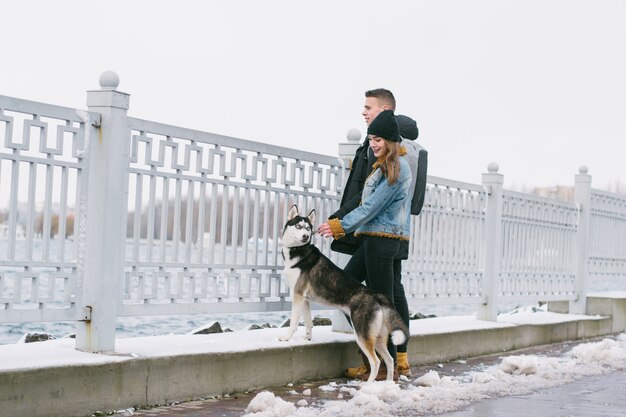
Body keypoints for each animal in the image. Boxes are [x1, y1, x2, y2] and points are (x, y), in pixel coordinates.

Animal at [280, 203, 408, 382]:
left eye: (308, 228)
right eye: (298, 226)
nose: (305, 236)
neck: (298, 250)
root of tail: (376, 295)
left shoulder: (297, 295)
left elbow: (293, 323)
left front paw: (286, 337)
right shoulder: (304, 299)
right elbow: (308, 322)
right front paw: (308, 337)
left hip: (362, 334)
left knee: (375, 361)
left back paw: (368, 385)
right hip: (378, 337)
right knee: (389, 359)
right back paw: (388, 383)